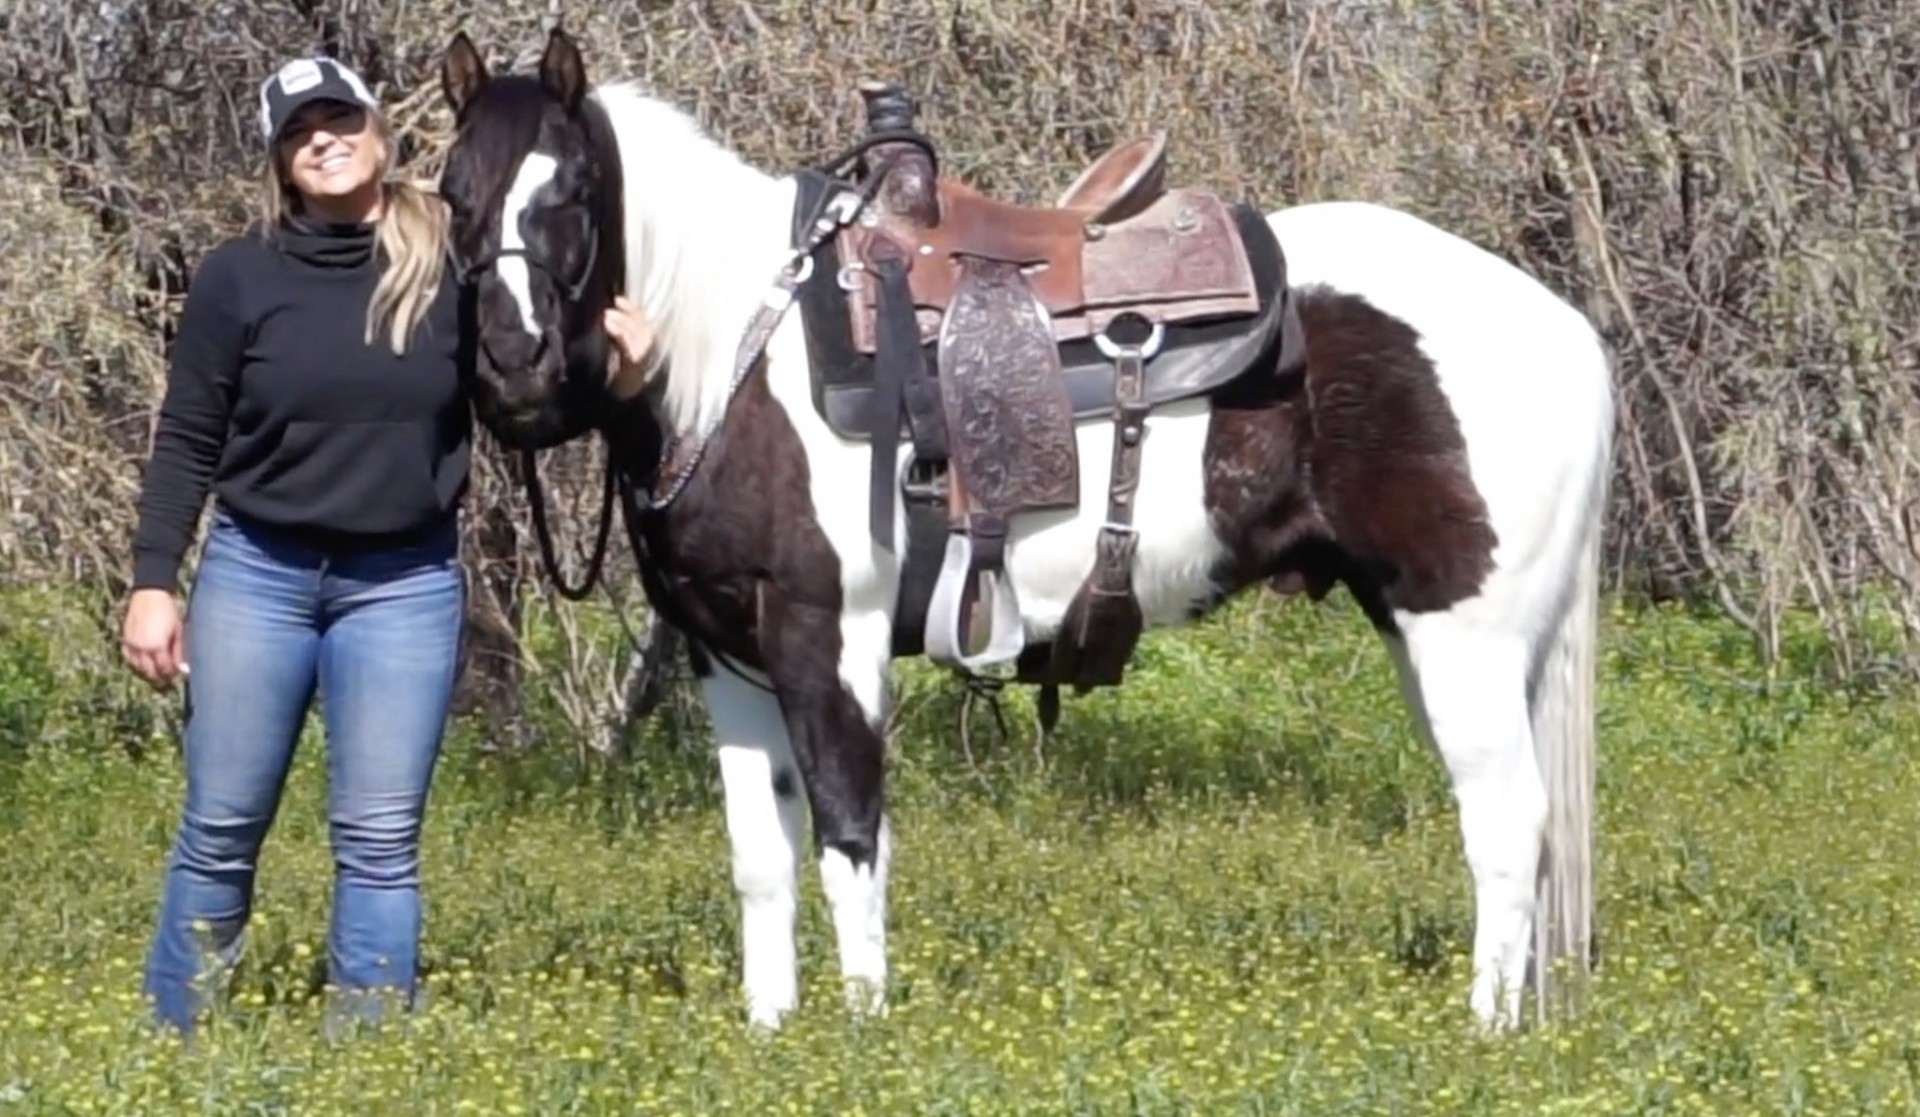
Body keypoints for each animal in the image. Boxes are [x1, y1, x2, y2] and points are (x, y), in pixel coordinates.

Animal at [434, 25, 1615, 1033]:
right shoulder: (731, 657)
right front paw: (773, 1031)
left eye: (573, 189)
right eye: (454, 193)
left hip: (1463, 633)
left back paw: (1483, 1028)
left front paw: (861, 1031)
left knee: (1508, 822)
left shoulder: (831, 638)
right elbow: (761, 856)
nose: (514, 370)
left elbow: (851, 837)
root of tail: (1566, 330)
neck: (738, 347)